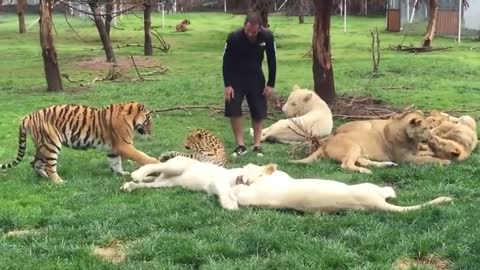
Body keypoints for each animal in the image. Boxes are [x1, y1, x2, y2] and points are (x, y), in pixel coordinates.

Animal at [0, 100, 161, 185]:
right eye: (148, 121)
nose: (151, 133)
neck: (131, 120)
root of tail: (28, 116)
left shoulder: (113, 149)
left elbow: (115, 162)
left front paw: (120, 173)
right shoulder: (124, 145)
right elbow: (141, 156)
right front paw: (156, 163)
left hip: (42, 145)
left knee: (35, 163)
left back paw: (44, 178)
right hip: (51, 144)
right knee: (49, 166)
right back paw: (59, 182)